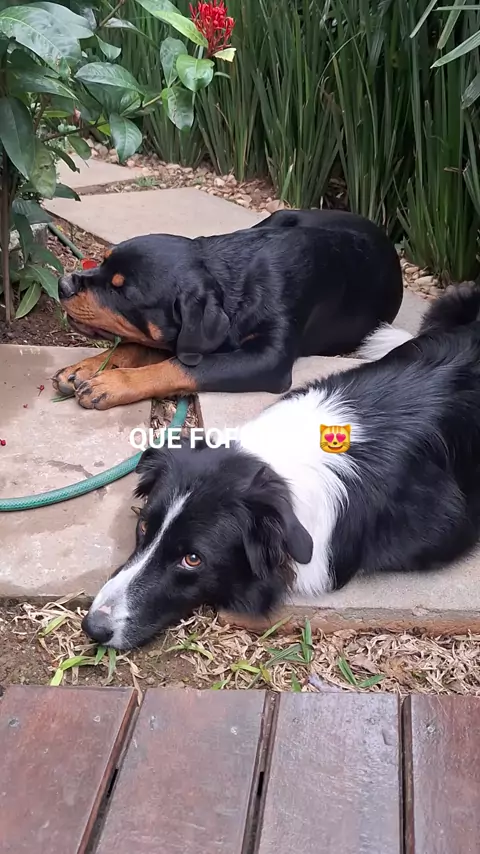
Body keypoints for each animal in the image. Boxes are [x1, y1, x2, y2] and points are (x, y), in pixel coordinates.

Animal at [53, 209, 402, 409]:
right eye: (102, 261)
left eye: (120, 291)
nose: (63, 285)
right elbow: (136, 345)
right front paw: (84, 368)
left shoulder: (268, 359)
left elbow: (180, 366)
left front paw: (111, 384)